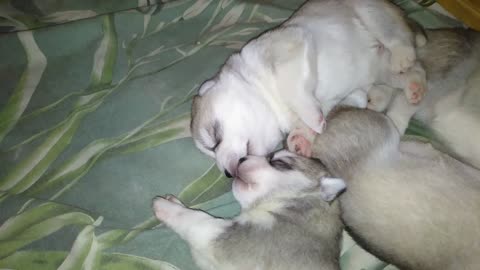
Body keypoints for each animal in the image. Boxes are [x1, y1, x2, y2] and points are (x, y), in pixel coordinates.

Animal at [153, 150, 344, 270]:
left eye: (278, 162)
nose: (241, 158)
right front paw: (175, 201)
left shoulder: (222, 236)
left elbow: (195, 218)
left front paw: (166, 207)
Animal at [189, 0, 426, 177]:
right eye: (211, 150)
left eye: (213, 139)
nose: (228, 175)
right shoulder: (336, 97)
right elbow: (318, 111)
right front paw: (302, 136)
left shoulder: (291, 46)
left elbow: (295, 91)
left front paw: (311, 120)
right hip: (379, 69)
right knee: (414, 71)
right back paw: (412, 88)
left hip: (371, 12)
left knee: (398, 38)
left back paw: (402, 56)